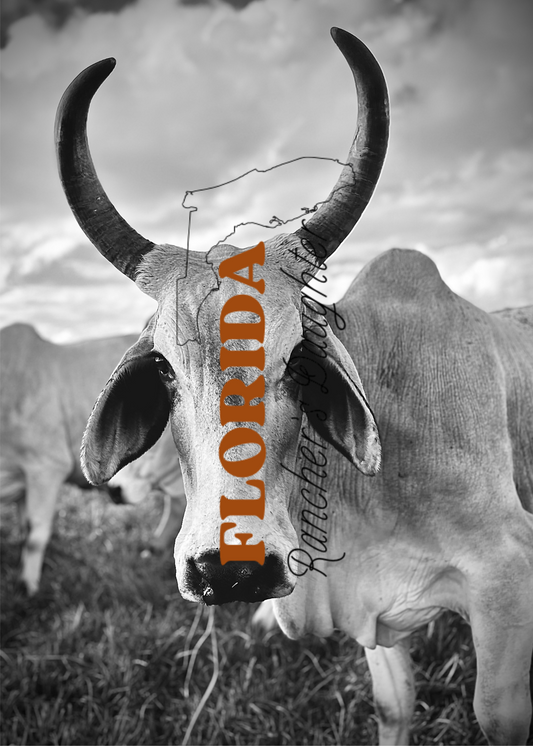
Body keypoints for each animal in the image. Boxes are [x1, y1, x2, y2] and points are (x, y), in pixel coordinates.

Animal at [54, 27, 533, 745]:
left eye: (296, 361)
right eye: (163, 367)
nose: (230, 570)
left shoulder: (506, 577)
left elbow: (498, 717)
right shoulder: (374, 619)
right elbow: (394, 707)